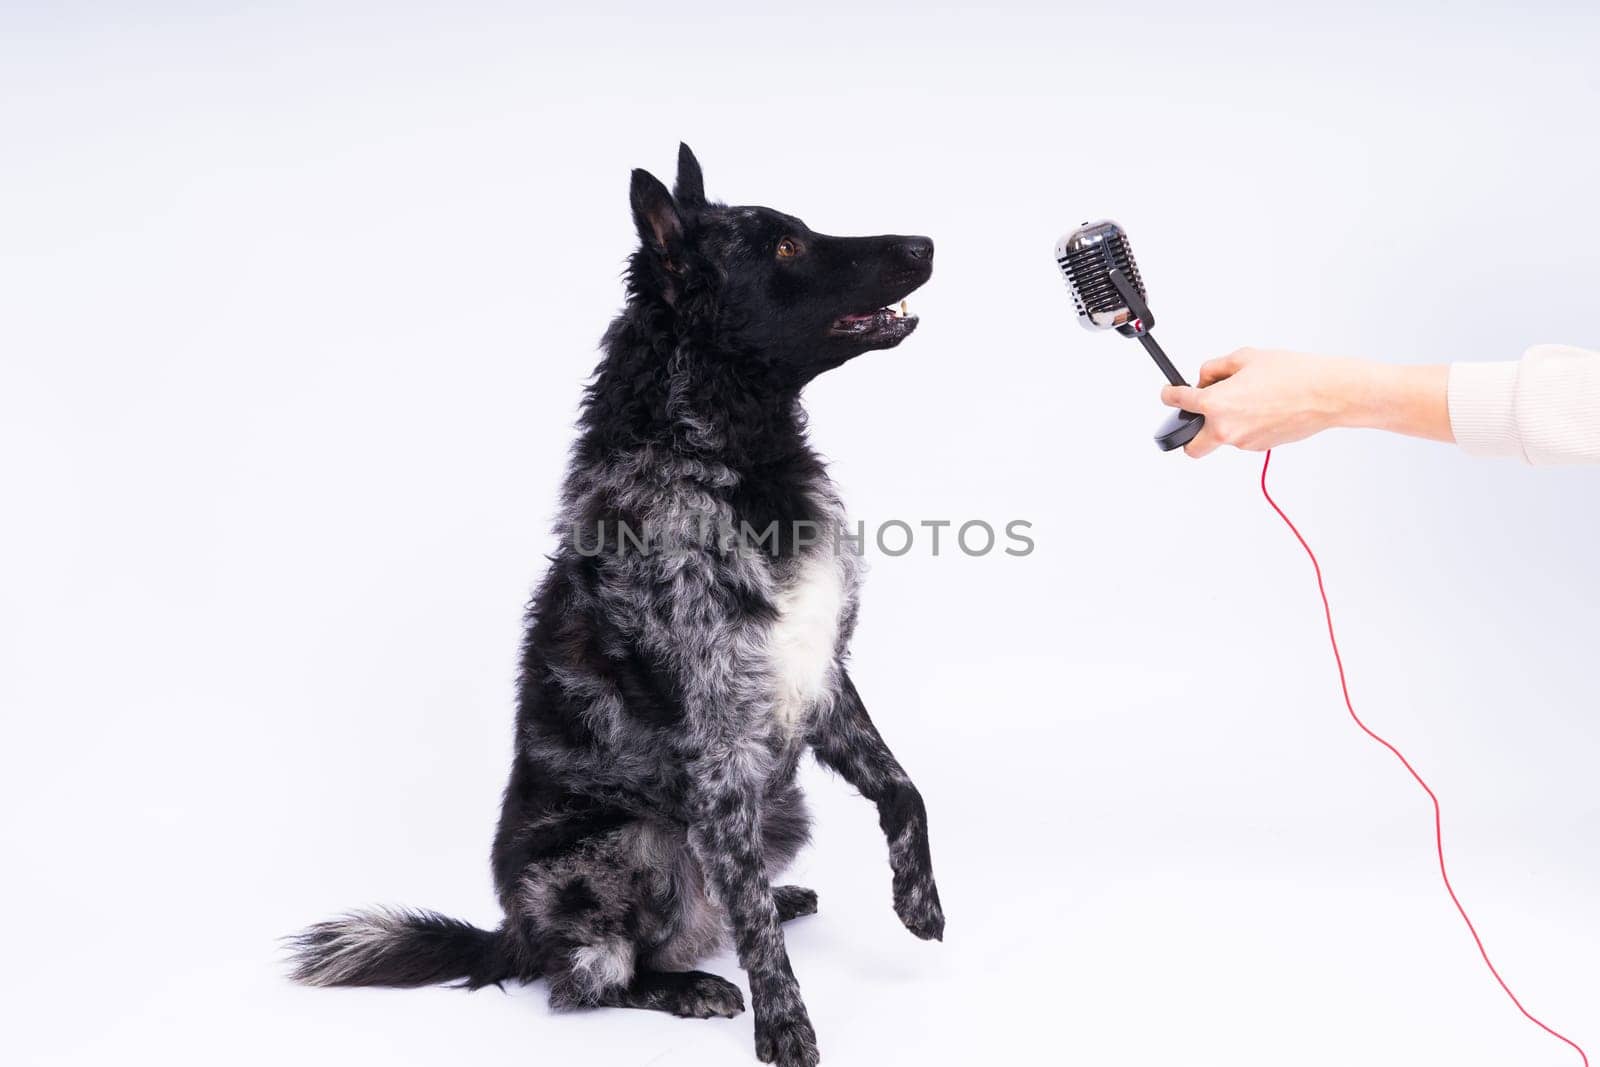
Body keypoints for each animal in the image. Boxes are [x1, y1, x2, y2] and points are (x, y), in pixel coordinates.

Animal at [289, 143, 940, 1067]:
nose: (924, 243)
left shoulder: (820, 671)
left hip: (783, 806)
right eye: (784, 247)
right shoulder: (719, 741)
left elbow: (902, 786)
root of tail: (512, 935)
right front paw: (785, 1024)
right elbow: (753, 926)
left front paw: (919, 899)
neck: (733, 461)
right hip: (635, 843)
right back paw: (688, 982)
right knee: (591, 976)